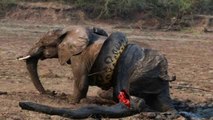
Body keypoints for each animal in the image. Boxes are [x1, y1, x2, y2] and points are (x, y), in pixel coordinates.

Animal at [17, 26, 176, 118]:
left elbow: (81, 82)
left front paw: (71, 101)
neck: (70, 31)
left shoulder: (79, 56)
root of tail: (164, 72)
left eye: (43, 44)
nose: (50, 93)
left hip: (136, 74)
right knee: (163, 101)